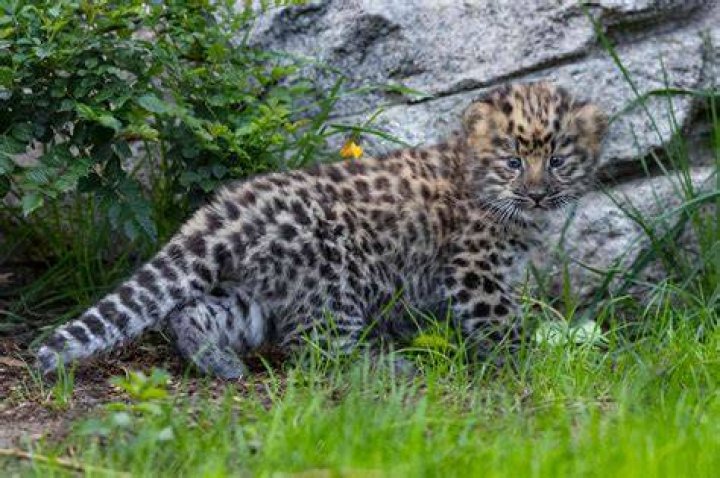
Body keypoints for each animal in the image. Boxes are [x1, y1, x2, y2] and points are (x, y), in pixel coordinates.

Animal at [36, 81, 608, 378]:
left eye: (557, 162)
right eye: (512, 162)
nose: (537, 193)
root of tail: (230, 207)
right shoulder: (475, 271)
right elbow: (502, 321)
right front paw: (532, 364)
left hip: (261, 293)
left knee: (191, 311)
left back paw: (218, 361)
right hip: (335, 280)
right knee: (318, 348)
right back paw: (390, 370)